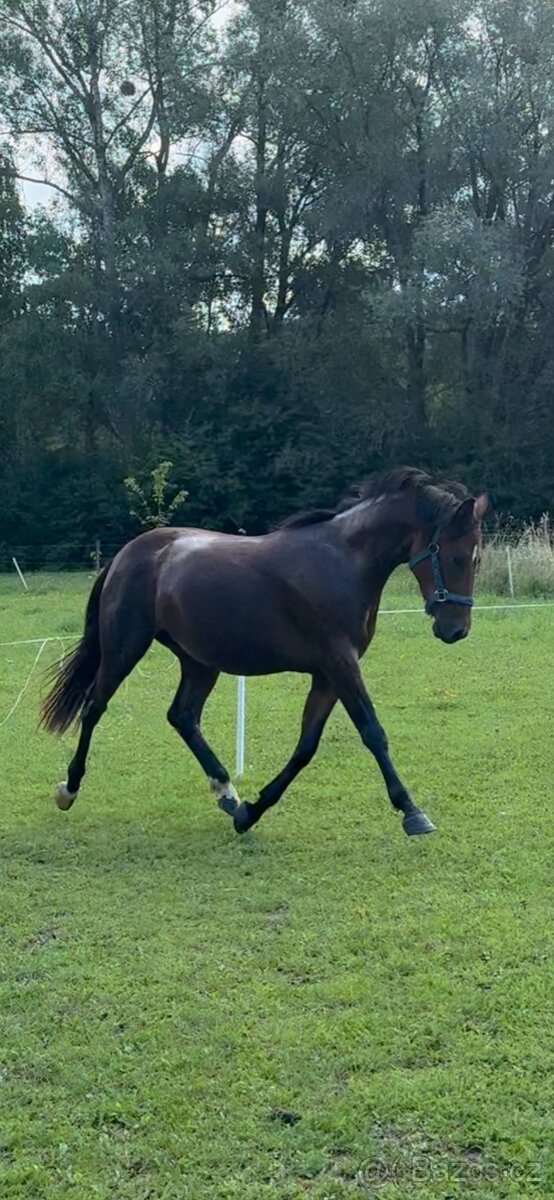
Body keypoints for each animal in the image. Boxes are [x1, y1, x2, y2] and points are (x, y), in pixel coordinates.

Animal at [41, 468, 488, 838]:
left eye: (477, 558)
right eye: (456, 556)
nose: (456, 630)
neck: (343, 562)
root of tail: (127, 553)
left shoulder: (327, 675)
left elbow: (306, 747)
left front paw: (250, 813)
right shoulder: (341, 665)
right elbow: (373, 733)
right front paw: (412, 812)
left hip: (199, 661)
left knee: (182, 716)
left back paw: (227, 792)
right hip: (125, 647)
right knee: (94, 707)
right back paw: (69, 788)